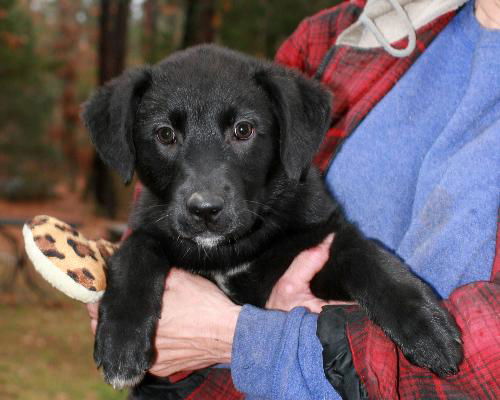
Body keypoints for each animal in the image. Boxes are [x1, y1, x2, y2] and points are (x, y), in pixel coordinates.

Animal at [82, 45, 460, 390]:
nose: (205, 209)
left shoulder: (322, 236)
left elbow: (367, 256)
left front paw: (427, 328)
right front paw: (121, 341)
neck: (230, 250)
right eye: (164, 134)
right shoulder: (150, 224)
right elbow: (134, 251)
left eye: (243, 130)